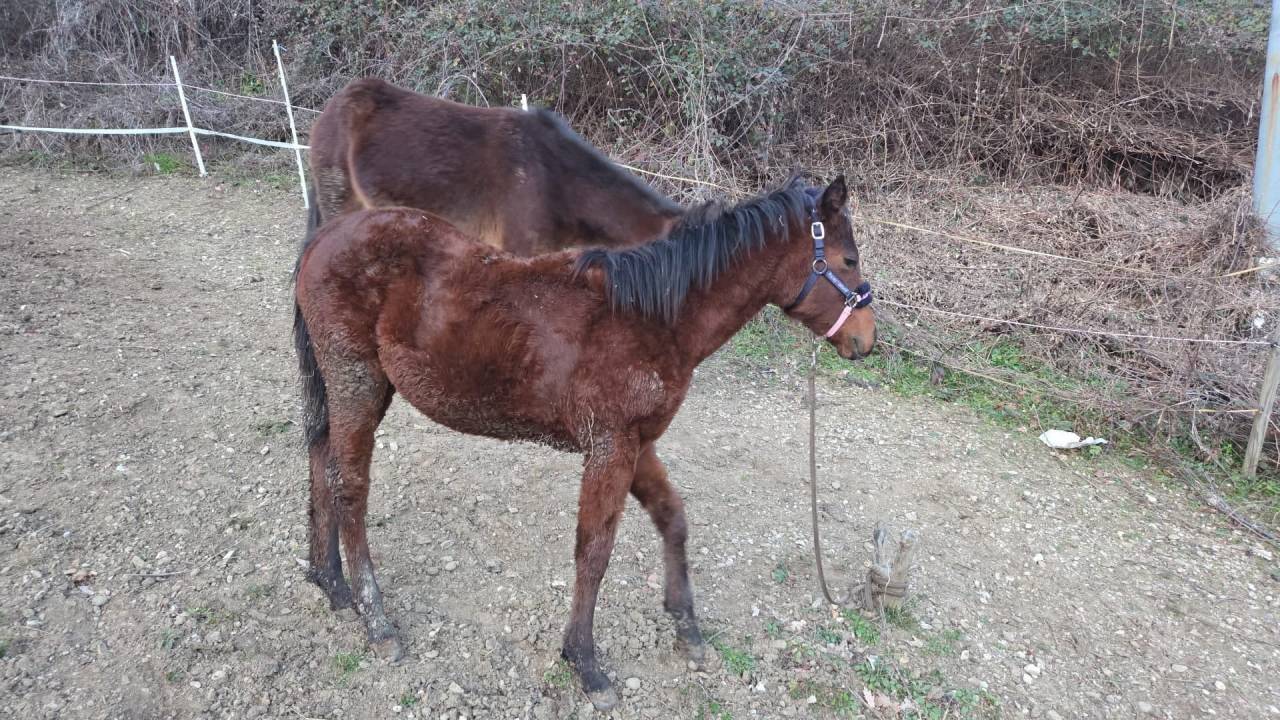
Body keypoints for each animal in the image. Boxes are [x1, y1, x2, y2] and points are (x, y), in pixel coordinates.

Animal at [292, 174, 875, 710]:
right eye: (847, 259)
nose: (866, 340)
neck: (653, 317)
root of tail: (325, 237)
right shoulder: (609, 447)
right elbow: (594, 552)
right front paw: (586, 664)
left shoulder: (638, 445)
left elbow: (673, 519)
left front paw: (686, 629)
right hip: (357, 381)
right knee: (350, 487)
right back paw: (377, 621)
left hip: (349, 386)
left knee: (320, 458)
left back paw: (330, 582)